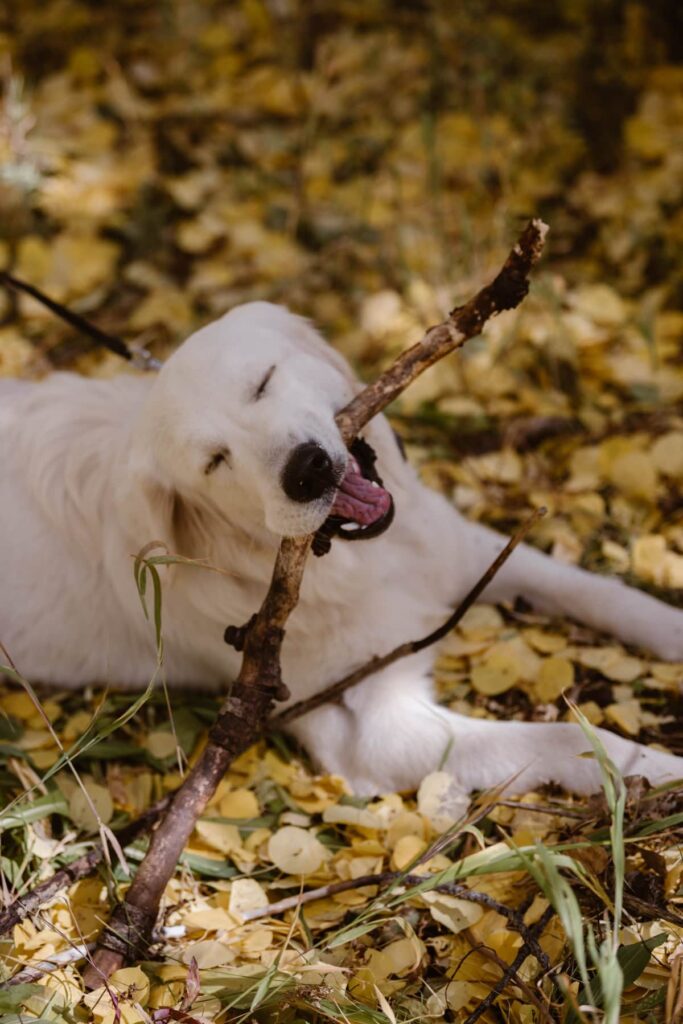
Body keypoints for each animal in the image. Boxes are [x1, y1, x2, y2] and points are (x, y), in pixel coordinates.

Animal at [1, 299, 683, 794]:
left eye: (263, 382)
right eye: (214, 461)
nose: (306, 471)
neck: (365, 565)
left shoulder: (458, 550)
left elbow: (599, 591)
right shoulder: (371, 730)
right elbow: (557, 738)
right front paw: (657, 768)